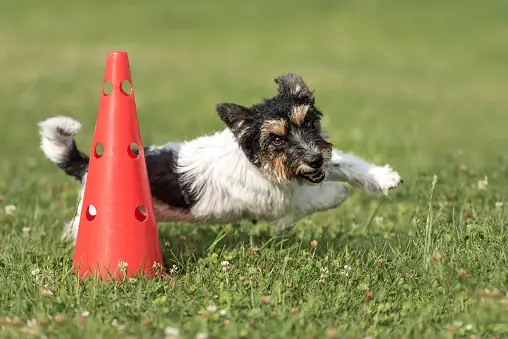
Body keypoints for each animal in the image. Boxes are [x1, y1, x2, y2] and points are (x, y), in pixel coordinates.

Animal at [38, 73, 404, 244]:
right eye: (275, 138)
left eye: (309, 123)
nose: (314, 160)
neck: (255, 160)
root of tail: (87, 165)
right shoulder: (276, 204)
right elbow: (311, 197)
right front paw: (337, 191)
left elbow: (343, 162)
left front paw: (382, 177)